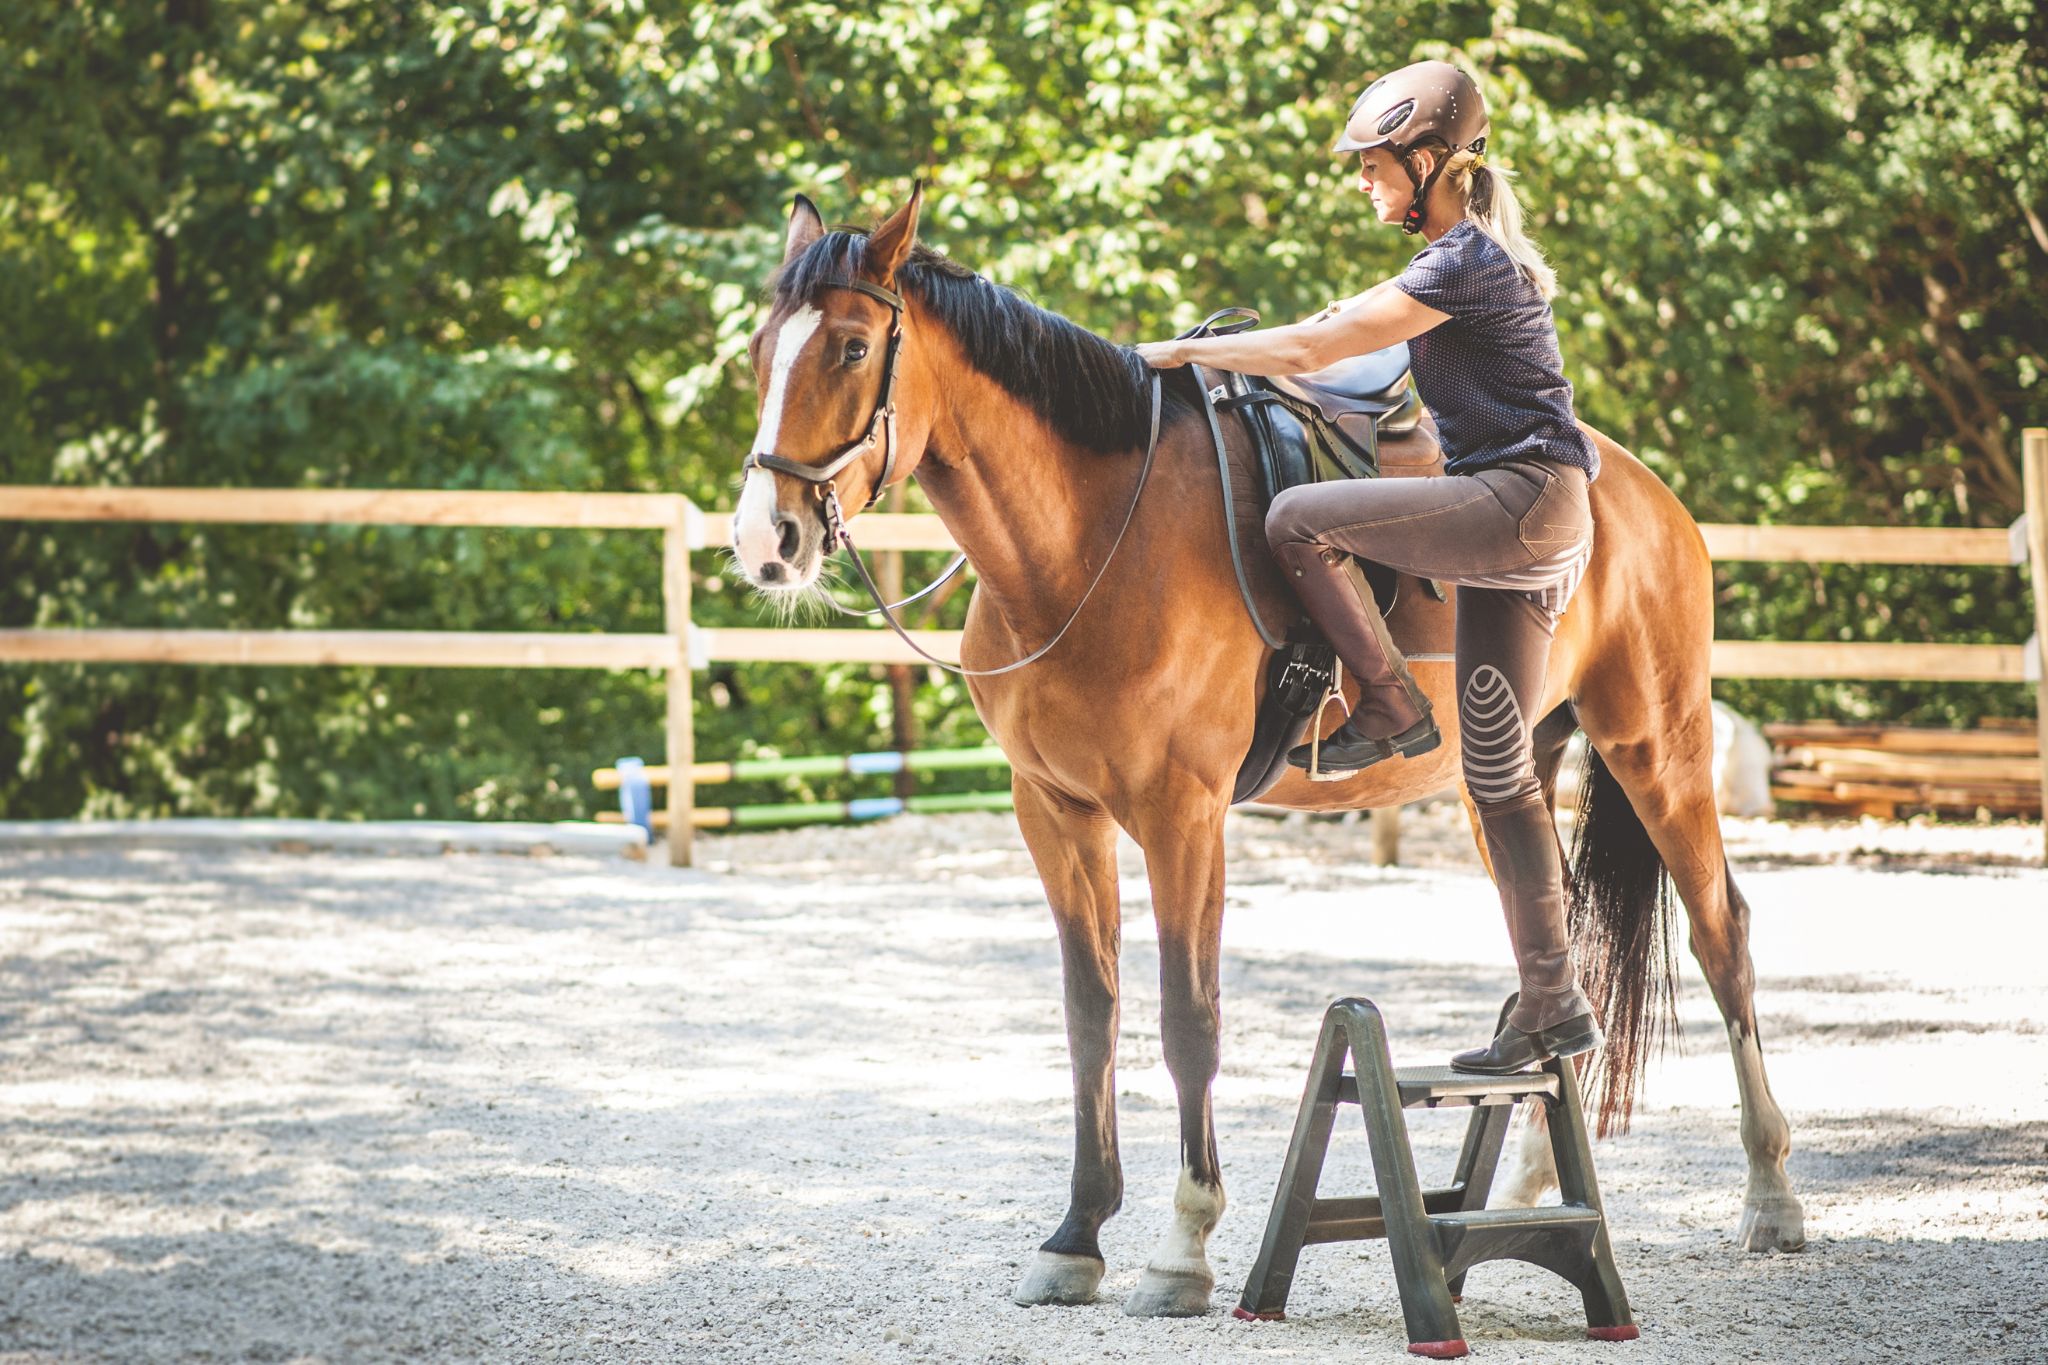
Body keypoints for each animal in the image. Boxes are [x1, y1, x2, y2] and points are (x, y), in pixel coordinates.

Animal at [724, 187, 1810, 1317]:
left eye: (852, 347)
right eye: (759, 352)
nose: (767, 542)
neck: (1088, 542)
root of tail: (1635, 489)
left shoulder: (1181, 815)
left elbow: (1186, 1018)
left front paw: (1182, 1246)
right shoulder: (1053, 810)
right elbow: (1090, 1014)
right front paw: (1075, 1236)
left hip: (1657, 749)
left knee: (1721, 934)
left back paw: (1769, 1195)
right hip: (1504, 770)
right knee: (1552, 929)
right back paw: (1530, 1175)